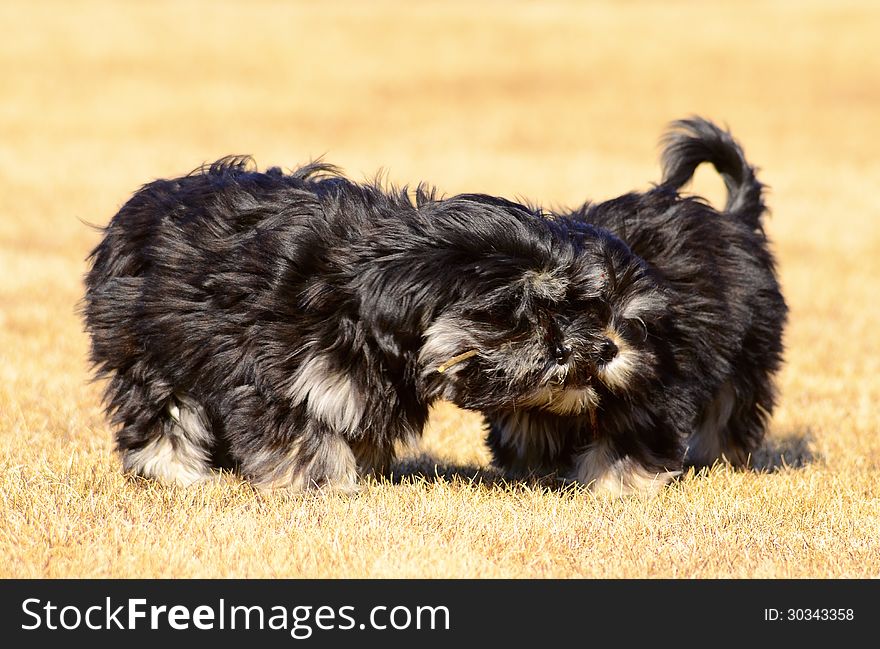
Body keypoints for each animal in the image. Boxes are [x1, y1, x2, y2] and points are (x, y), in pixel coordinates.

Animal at [84, 159, 620, 488]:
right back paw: (176, 473)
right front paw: (321, 486)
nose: (582, 350)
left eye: (579, 304)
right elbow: (302, 434)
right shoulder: (279, 372)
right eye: (514, 309)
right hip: (152, 348)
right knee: (161, 409)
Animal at [484, 116, 788, 494]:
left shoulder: (657, 388)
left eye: (635, 322)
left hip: (745, 352)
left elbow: (624, 442)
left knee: (730, 407)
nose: (608, 349)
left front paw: (612, 486)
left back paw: (719, 456)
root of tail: (735, 221)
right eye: (575, 310)